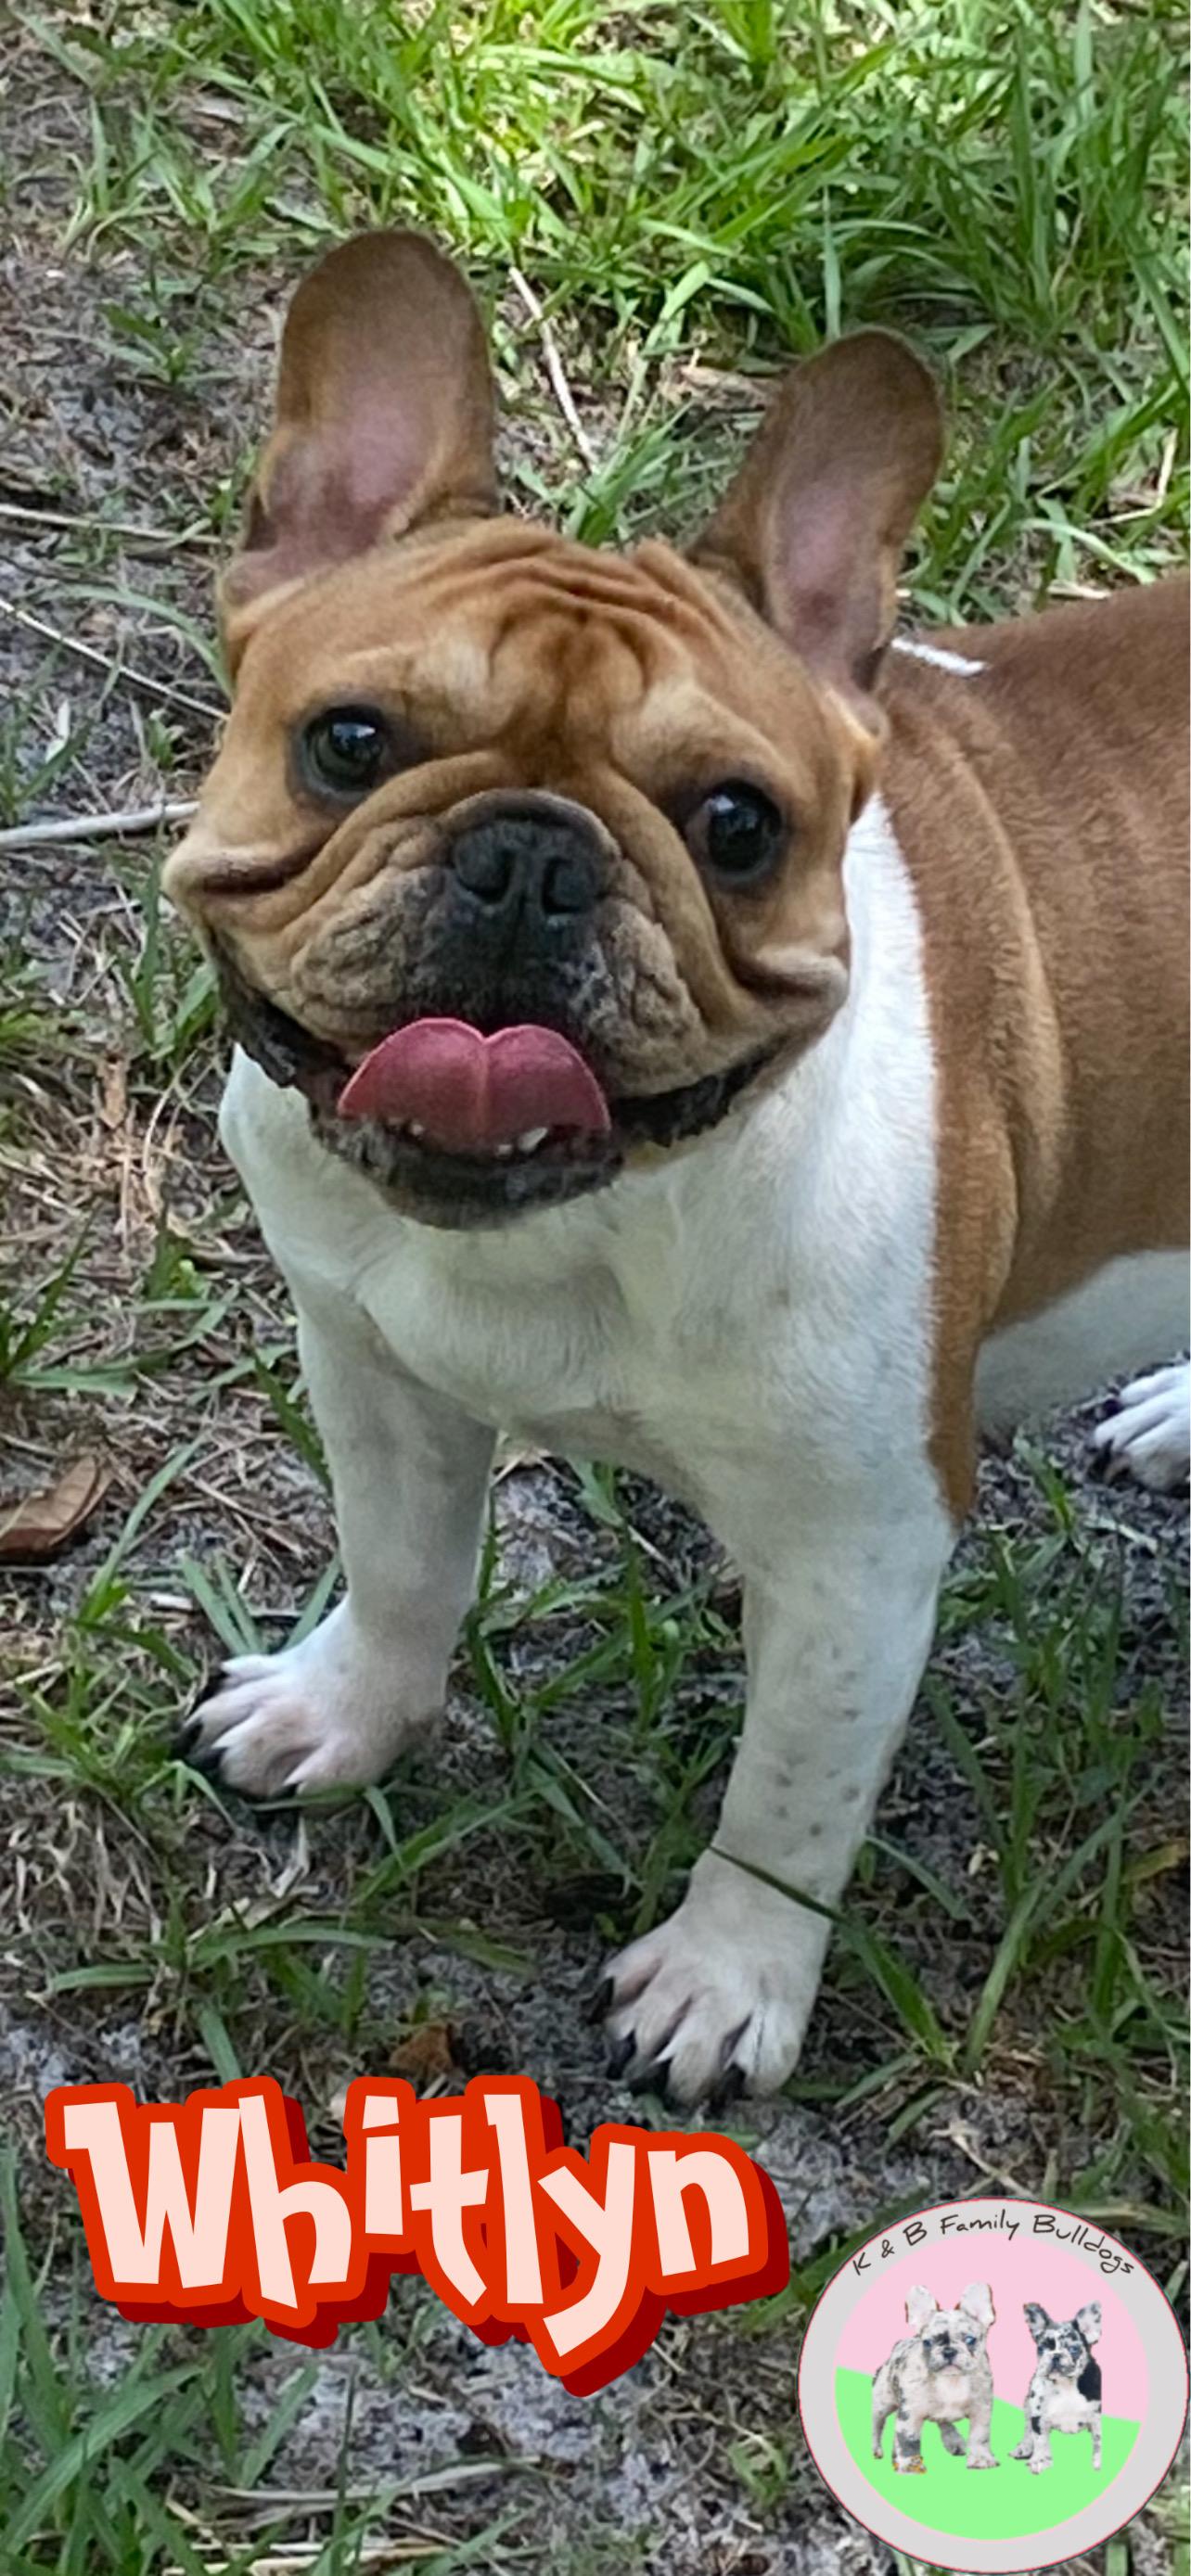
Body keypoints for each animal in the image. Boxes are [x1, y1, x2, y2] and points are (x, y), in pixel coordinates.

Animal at [166, 230, 1190, 2104]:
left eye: (734, 826)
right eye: (348, 743)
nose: (528, 856)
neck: (566, 1222)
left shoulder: (859, 1553)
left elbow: (788, 1798)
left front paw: (724, 1986)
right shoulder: (374, 1367)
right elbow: (402, 1568)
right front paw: (341, 1714)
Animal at [871, 2282, 998, 2472]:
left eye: (970, 2340)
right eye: (927, 2342)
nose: (948, 2351)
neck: (952, 2380)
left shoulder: (981, 2409)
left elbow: (979, 2435)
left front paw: (980, 2458)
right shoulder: (911, 2413)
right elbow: (908, 2438)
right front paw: (909, 2464)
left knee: (944, 2423)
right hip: (882, 2402)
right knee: (877, 2425)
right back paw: (878, 2450)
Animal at [1012, 2302, 1103, 2474]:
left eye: (1074, 2349)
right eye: (1041, 2349)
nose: (1055, 2355)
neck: (1065, 2383)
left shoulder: (1095, 2416)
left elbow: (1097, 2439)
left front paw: (1097, 2462)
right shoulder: (1038, 2417)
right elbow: (1040, 2440)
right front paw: (1040, 2460)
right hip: (1027, 2405)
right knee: (1028, 2429)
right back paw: (1025, 2447)